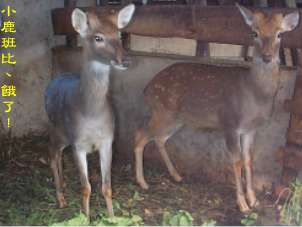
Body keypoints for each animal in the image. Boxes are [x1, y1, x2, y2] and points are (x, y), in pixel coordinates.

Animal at [44, 4, 135, 217]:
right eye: (98, 37)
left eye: (119, 34)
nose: (125, 61)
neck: (91, 114)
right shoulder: (78, 143)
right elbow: (86, 187)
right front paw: (85, 217)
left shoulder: (108, 140)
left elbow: (107, 186)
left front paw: (112, 217)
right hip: (56, 128)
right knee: (52, 153)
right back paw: (61, 198)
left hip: (65, 136)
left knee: (58, 155)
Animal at [134, 3, 300, 213]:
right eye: (254, 33)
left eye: (279, 34)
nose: (267, 57)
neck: (255, 96)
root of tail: (146, 88)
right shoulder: (230, 123)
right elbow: (236, 161)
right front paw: (242, 204)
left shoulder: (251, 129)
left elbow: (249, 159)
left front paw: (254, 200)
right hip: (163, 112)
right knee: (140, 135)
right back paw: (143, 182)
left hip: (176, 119)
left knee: (159, 139)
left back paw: (176, 176)